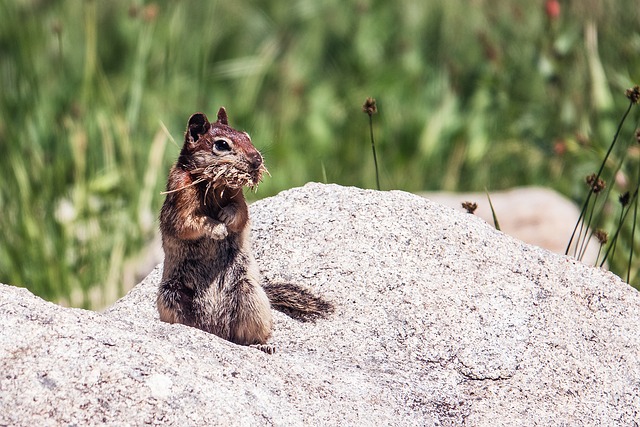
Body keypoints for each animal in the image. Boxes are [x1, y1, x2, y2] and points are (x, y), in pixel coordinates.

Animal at [157, 108, 332, 354]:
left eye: (247, 136)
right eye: (221, 145)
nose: (257, 160)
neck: (212, 185)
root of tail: (216, 330)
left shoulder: (238, 197)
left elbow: (241, 214)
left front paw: (226, 216)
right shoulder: (179, 195)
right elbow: (187, 223)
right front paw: (217, 227)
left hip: (249, 294)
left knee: (247, 335)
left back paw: (263, 346)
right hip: (171, 295)